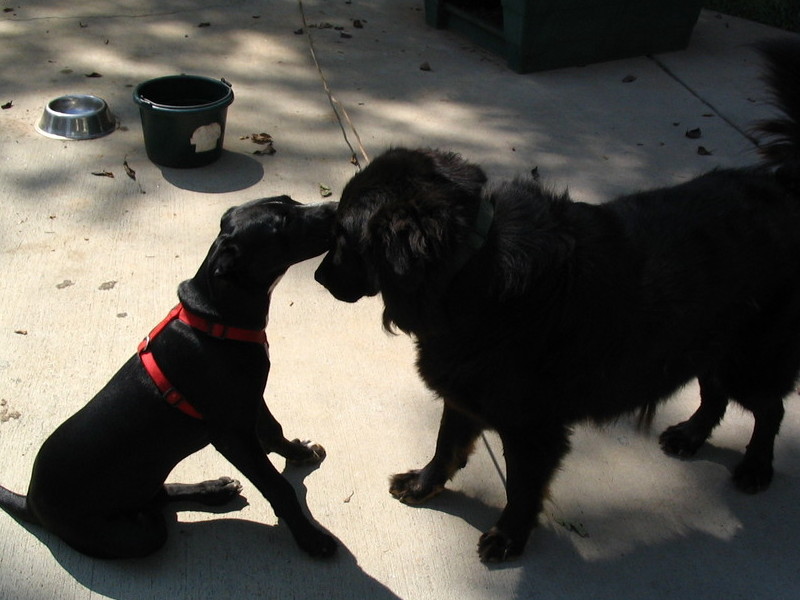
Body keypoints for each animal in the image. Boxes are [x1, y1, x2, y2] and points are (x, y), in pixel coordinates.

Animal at [0, 197, 338, 556]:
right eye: (282, 223)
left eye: (289, 201)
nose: (335, 207)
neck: (216, 320)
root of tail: (30, 502)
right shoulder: (231, 435)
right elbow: (278, 487)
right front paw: (310, 537)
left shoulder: (250, 399)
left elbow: (274, 431)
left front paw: (299, 452)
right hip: (126, 529)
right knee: (153, 519)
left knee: (159, 496)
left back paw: (213, 490)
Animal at [316, 41, 800, 564]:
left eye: (342, 236)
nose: (319, 277)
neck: (469, 267)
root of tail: (784, 186)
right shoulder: (464, 390)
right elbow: (446, 444)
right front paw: (425, 484)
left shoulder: (533, 427)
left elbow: (522, 487)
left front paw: (510, 536)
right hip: (709, 340)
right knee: (714, 392)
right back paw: (691, 435)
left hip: (752, 356)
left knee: (769, 408)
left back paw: (756, 467)